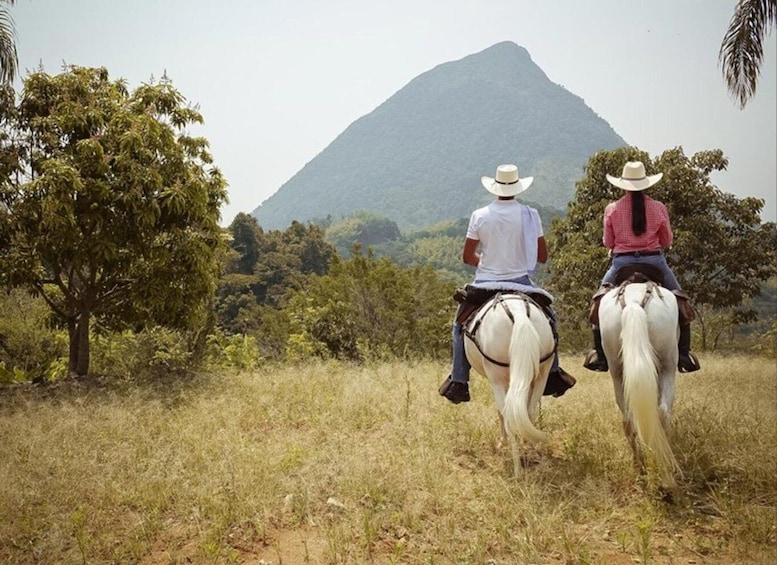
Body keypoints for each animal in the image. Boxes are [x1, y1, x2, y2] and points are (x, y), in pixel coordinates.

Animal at [464, 290, 556, 472]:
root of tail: (518, 311)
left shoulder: (497, 381)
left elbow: (501, 412)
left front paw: (502, 443)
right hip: (541, 375)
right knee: (528, 412)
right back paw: (530, 450)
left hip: (497, 378)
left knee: (509, 416)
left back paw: (517, 468)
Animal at [596, 282, 684, 490]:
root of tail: (634, 302)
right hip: (668, 365)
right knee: (663, 413)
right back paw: (666, 474)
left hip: (617, 371)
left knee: (628, 421)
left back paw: (640, 469)